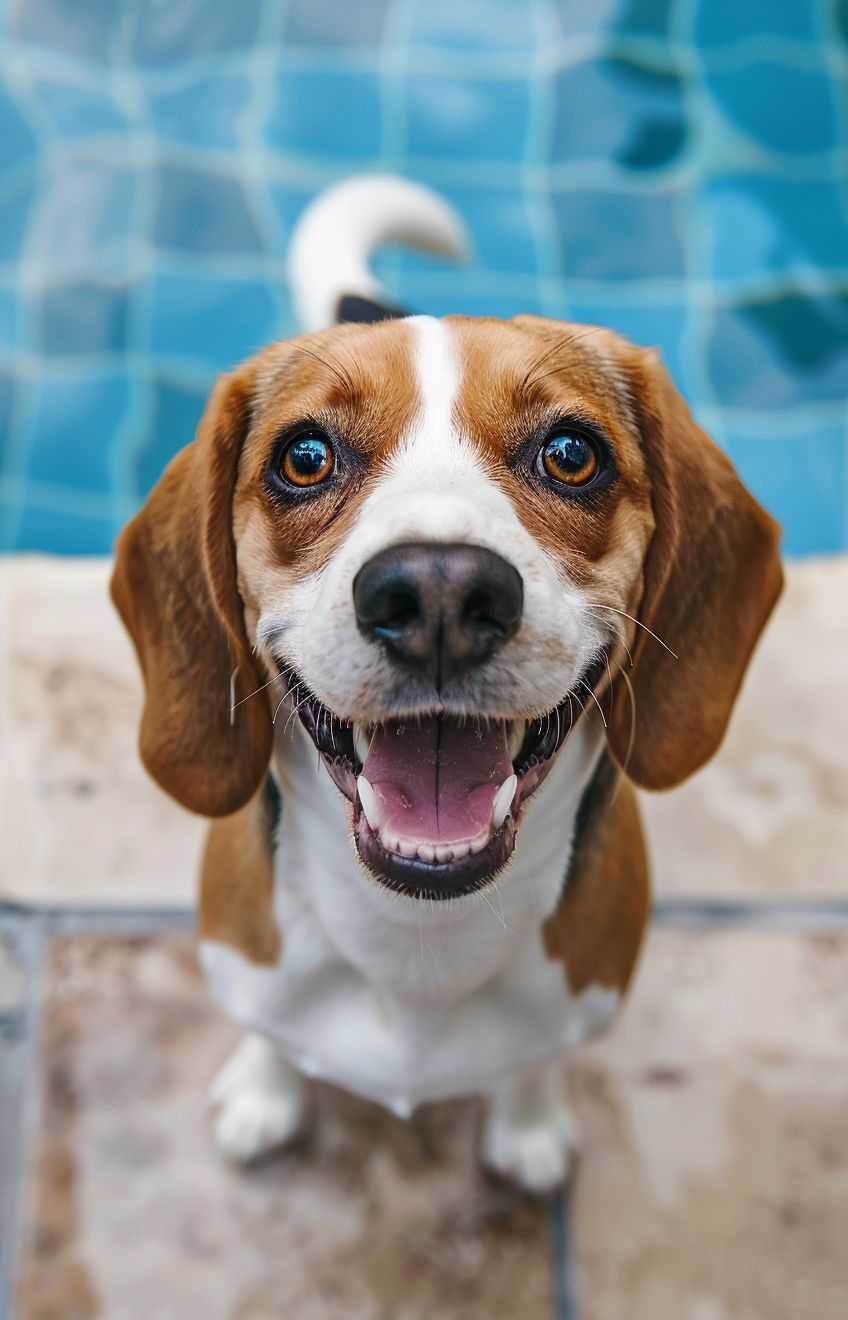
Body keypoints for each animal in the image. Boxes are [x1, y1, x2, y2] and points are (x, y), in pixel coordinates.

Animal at [112, 170, 781, 1193]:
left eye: (571, 453)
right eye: (304, 458)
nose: (436, 593)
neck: (416, 942)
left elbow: (536, 1060)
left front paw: (529, 1125)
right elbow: (270, 1032)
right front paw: (266, 1091)